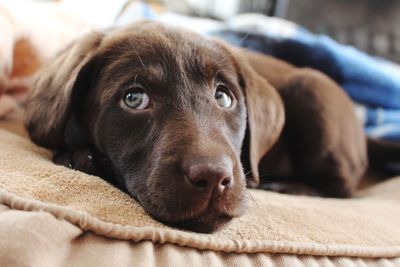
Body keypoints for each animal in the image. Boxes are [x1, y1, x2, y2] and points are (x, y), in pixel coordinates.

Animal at [25, 22, 368, 233]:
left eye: (223, 97)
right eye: (134, 99)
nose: (213, 177)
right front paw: (79, 157)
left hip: (313, 88)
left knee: (344, 188)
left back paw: (289, 187)